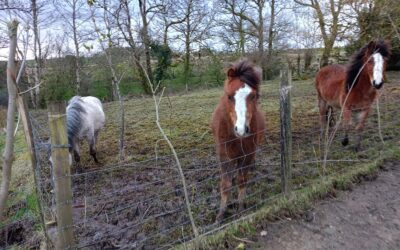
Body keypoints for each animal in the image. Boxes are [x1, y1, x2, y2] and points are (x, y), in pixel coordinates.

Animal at [212, 60, 266, 223]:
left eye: (253, 95)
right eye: (229, 96)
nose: (241, 129)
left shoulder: (247, 154)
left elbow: (242, 180)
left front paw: (241, 208)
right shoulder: (224, 155)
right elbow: (225, 184)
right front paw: (221, 214)